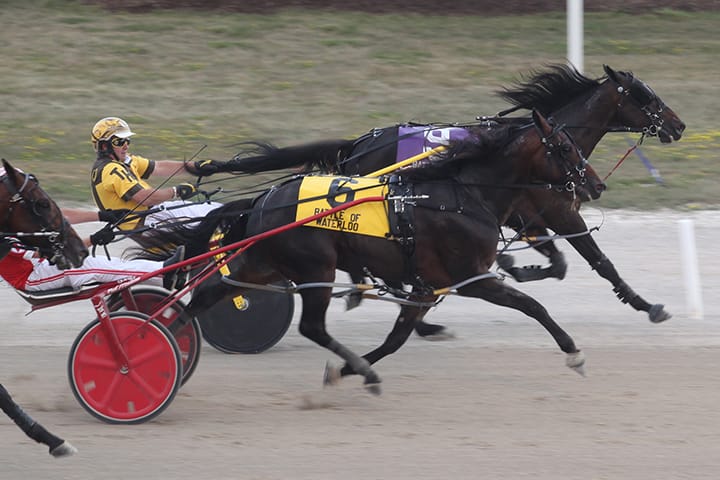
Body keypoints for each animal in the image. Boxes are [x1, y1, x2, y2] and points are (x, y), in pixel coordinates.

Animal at [137, 110, 592, 391]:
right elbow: (532, 305)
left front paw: (347, 369)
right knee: (311, 327)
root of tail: (264, 199)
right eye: (565, 148)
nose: (593, 184)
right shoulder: (472, 278)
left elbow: (396, 338)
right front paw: (573, 352)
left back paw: (158, 341)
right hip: (315, 268)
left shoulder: (427, 286)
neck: (461, 195)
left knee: (207, 296)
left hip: (261, 263)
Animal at [218, 64, 685, 336]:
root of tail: (361, 143)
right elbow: (595, 261)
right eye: (645, 95)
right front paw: (647, 306)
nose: (678, 125)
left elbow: (557, 263)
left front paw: (516, 265)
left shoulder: (526, 215)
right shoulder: (557, 212)